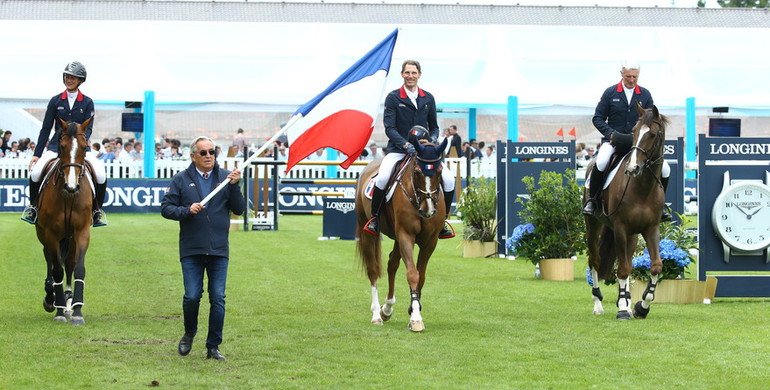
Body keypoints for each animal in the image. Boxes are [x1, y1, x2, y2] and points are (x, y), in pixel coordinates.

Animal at [35, 117, 95, 324]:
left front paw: (76, 310)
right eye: (61, 146)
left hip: (69, 237)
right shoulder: (51, 233)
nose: (71, 186)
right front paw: (59, 310)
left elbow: (78, 268)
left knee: (68, 261)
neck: (68, 196)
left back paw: (68, 300)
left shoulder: (82, 232)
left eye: (84, 147)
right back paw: (50, 297)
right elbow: (57, 270)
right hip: (44, 234)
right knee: (49, 258)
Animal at [356, 139, 448, 330]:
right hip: (367, 231)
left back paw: (387, 308)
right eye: (418, 172)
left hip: (397, 238)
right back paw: (377, 314)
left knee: (392, 263)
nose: (428, 211)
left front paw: (414, 308)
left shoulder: (430, 241)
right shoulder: (406, 234)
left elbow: (421, 276)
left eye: (439, 171)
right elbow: (412, 273)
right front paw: (416, 319)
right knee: (373, 269)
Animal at [584, 103, 664, 320]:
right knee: (595, 260)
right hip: (594, 225)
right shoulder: (620, 228)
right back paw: (598, 304)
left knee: (627, 261)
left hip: (633, 235)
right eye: (634, 132)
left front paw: (640, 307)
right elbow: (622, 270)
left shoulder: (651, 228)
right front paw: (621, 310)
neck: (642, 187)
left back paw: (627, 303)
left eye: (652, 134)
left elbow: (655, 266)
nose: (632, 168)